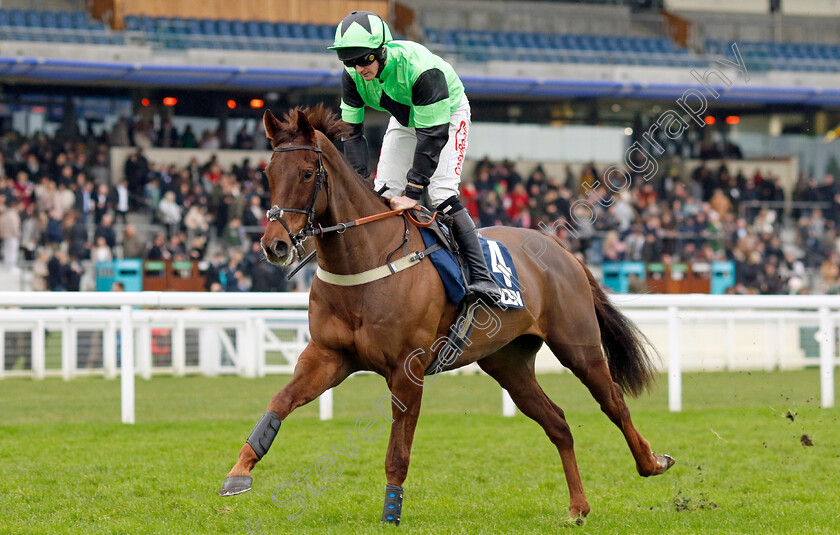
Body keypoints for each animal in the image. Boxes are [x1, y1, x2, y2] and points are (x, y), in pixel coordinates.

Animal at [218, 104, 676, 524]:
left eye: (306, 174)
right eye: (268, 173)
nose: (274, 245)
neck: (367, 259)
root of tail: (563, 252)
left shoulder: (408, 369)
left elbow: (398, 451)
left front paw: (390, 513)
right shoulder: (328, 356)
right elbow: (279, 402)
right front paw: (239, 471)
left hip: (577, 344)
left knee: (613, 401)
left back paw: (652, 462)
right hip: (508, 362)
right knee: (558, 423)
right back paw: (578, 506)